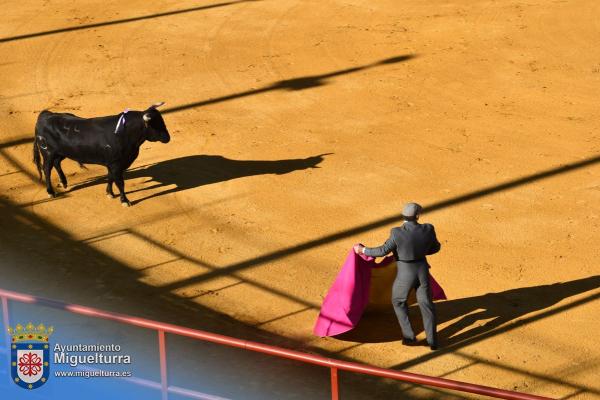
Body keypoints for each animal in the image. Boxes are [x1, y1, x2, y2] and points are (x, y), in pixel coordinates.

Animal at [32, 104, 170, 206]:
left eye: (162, 121)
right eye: (155, 125)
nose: (167, 138)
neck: (125, 133)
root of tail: (45, 115)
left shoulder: (113, 164)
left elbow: (110, 178)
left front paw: (110, 194)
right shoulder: (116, 165)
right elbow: (120, 182)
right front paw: (125, 200)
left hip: (61, 152)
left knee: (57, 163)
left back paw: (63, 182)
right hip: (48, 153)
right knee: (46, 169)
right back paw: (51, 192)